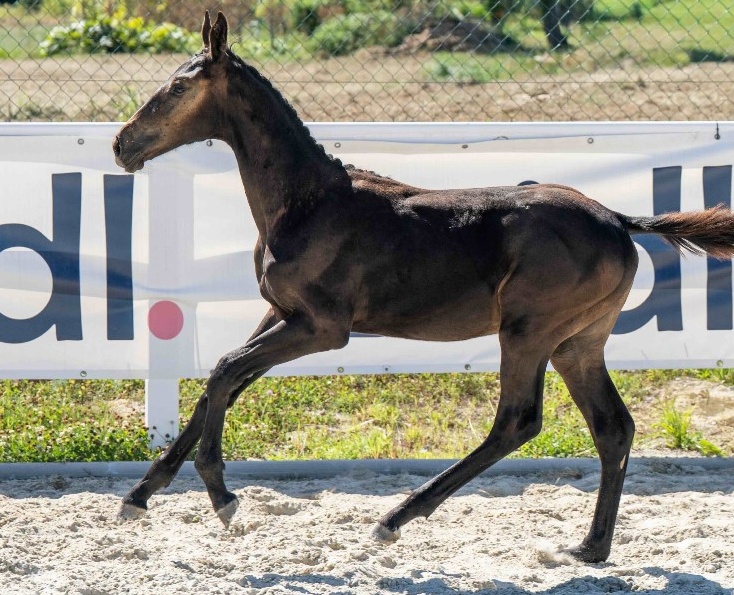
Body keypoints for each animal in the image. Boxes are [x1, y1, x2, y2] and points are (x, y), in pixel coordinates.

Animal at [113, 11, 734, 563]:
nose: (121, 144)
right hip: (578, 343)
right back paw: (590, 548)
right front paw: (140, 495)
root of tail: (618, 219)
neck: (308, 203)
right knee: (612, 428)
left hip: (529, 331)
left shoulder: (322, 327)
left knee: (518, 421)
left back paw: (395, 518)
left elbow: (223, 372)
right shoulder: (280, 315)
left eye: (176, 87)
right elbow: (221, 382)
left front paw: (221, 495)